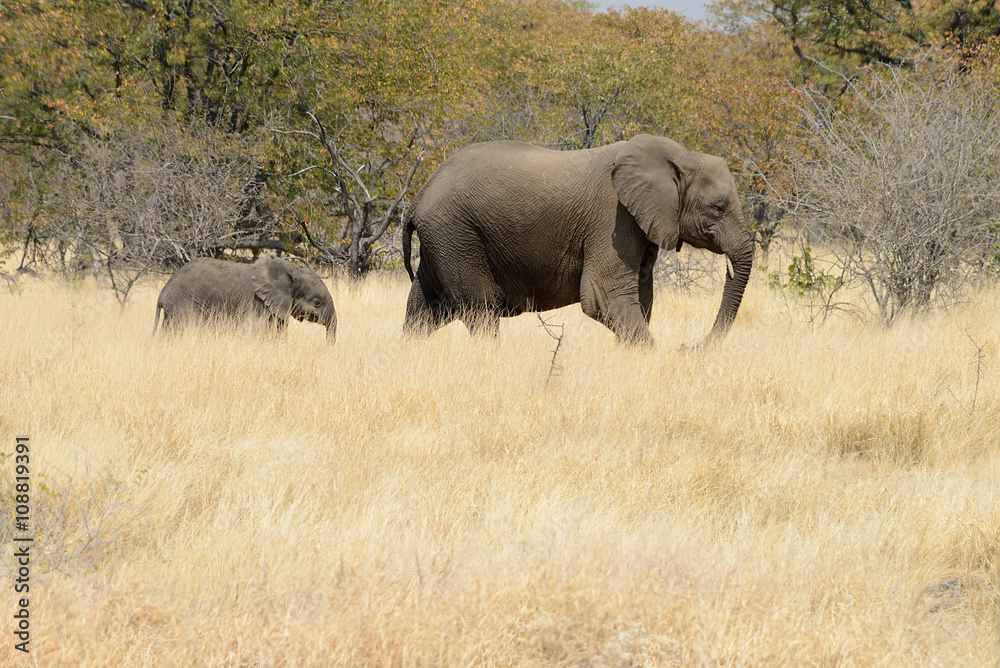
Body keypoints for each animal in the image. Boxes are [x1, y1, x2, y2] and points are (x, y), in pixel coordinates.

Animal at [398, 136, 752, 344]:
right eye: (718, 208)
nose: (687, 347)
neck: (679, 157)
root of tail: (419, 197)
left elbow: (641, 297)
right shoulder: (613, 218)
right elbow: (604, 298)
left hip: (444, 238)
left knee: (424, 309)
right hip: (456, 234)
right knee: (481, 310)